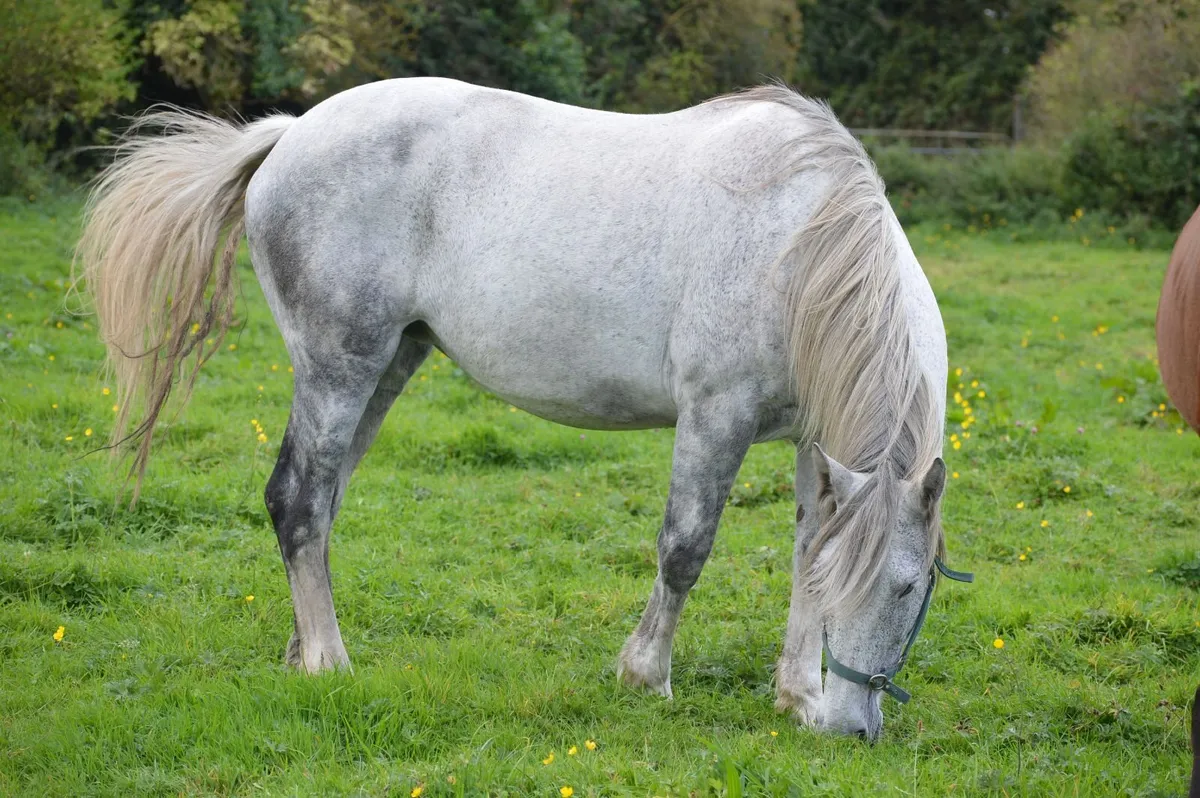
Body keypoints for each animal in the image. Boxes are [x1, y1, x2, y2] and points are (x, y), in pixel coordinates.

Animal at [77, 78, 968, 740]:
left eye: (910, 589)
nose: (851, 729)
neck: (800, 251)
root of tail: (291, 133)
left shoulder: (812, 445)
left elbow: (805, 555)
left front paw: (796, 695)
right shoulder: (718, 416)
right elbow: (685, 548)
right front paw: (645, 677)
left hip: (388, 365)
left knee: (321, 503)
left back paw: (303, 652)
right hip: (340, 364)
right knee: (296, 498)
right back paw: (331, 661)